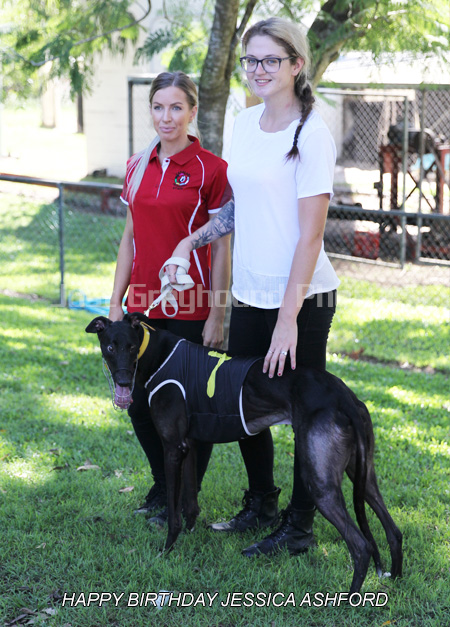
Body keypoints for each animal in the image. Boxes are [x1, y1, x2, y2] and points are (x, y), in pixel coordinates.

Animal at [86, 312, 403, 594]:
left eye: (130, 346)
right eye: (111, 347)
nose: (124, 383)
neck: (156, 353)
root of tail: (345, 396)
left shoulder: (173, 447)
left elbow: (175, 514)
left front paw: (166, 551)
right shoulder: (190, 444)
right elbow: (190, 504)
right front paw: (190, 537)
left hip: (319, 479)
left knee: (361, 545)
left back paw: (350, 597)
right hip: (362, 473)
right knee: (394, 531)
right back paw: (396, 580)